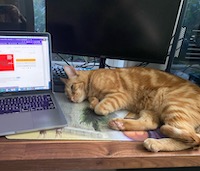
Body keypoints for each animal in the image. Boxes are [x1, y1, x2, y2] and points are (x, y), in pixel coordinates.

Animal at [60, 66, 200, 152]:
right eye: (67, 96)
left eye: (72, 87)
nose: (71, 99)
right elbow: (93, 102)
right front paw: (93, 101)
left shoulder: (120, 95)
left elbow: (99, 108)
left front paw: (97, 105)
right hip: (149, 109)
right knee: (152, 124)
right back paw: (121, 125)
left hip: (172, 105)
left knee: (193, 137)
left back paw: (159, 137)